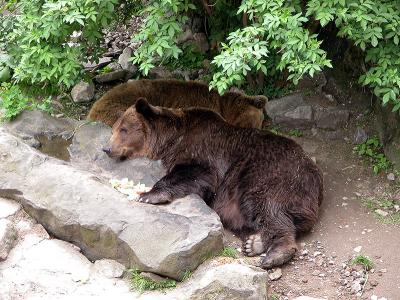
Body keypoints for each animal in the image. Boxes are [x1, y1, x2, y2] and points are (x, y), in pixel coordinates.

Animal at [104, 99, 324, 270]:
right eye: (114, 129)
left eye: (123, 129)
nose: (106, 148)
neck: (171, 139)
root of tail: (316, 176)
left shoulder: (204, 150)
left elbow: (196, 173)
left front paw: (148, 194)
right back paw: (254, 243)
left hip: (270, 175)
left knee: (267, 205)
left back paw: (276, 253)